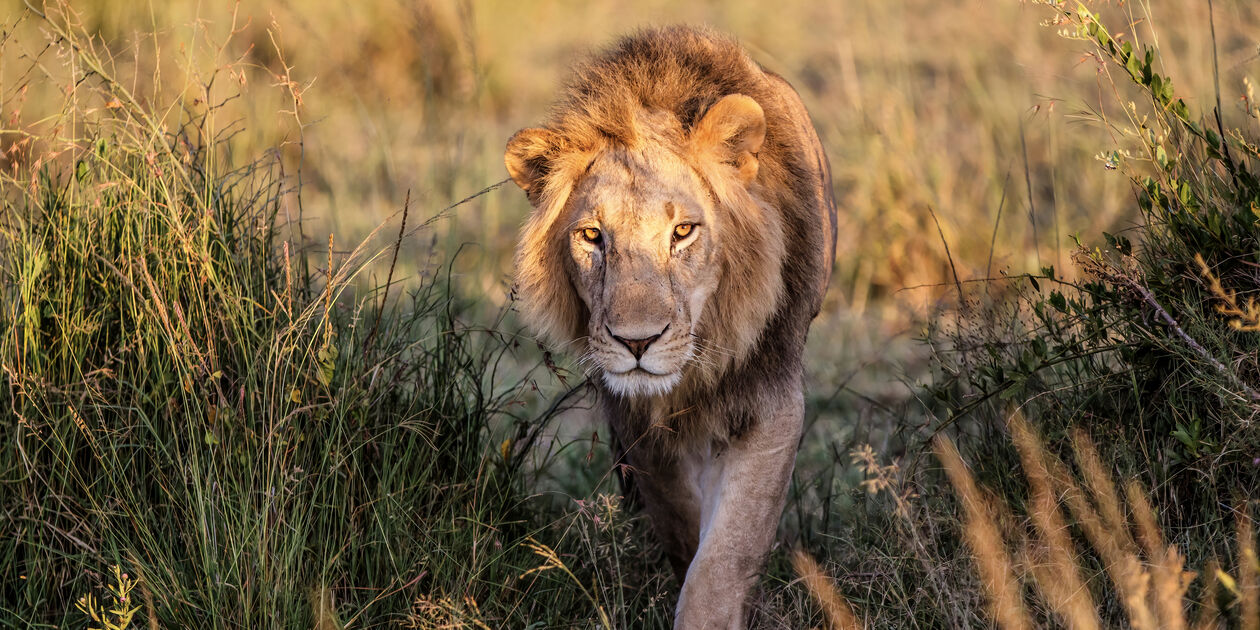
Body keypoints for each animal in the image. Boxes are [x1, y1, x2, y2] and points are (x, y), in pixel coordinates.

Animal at [505, 26, 837, 629]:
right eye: (592, 236)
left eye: (683, 231)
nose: (637, 342)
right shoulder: (634, 418)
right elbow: (679, 517)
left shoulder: (772, 400)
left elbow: (727, 550)